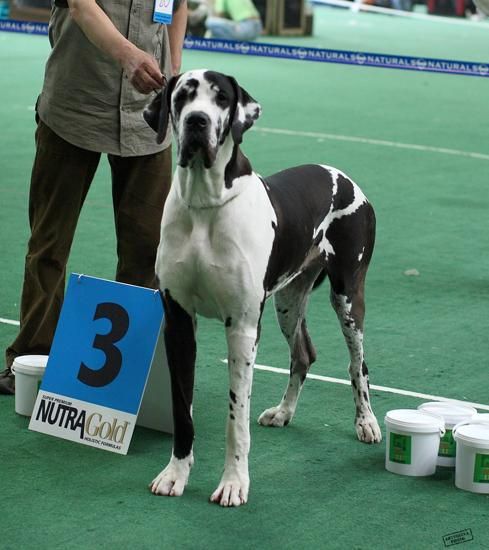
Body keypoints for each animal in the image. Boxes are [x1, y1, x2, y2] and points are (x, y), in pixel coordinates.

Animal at [143, 69, 382, 507]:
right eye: (183, 95)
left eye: (221, 97)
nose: (198, 122)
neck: (204, 203)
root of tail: (343, 176)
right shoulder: (179, 321)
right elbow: (181, 410)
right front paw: (175, 474)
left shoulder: (241, 327)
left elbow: (234, 420)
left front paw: (234, 482)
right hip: (287, 302)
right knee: (303, 354)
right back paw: (284, 412)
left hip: (348, 298)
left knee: (358, 366)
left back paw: (366, 421)